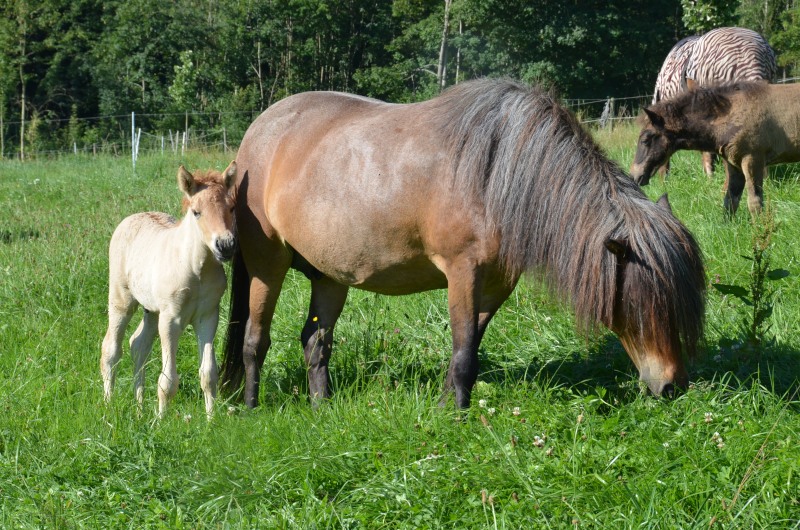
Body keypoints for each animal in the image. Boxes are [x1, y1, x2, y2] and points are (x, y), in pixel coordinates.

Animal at [101, 162, 237, 418]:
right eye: (196, 212)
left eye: (232, 208)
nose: (225, 245)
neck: (195, 267)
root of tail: (134, 216)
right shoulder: (171, 318)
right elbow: (168, 379)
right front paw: (161, 420)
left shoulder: (208, 317)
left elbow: (208, 374)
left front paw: (211, 419)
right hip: (122, 300)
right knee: (111, 350)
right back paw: (109, 404)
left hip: (151, 310)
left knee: (138, 344)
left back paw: (140, 408)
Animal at [220, 79, 706, 409]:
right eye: (645, 303)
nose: (672, 386)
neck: (498, 175)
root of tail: (256, 134)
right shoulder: (462, 272)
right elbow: (463, 349)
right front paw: (457, 415)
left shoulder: (496, 285)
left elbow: (468, 349)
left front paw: (444, 403)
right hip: (267, 266)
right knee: (254, 339)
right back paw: (251, 407)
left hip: (330, 275)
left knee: (315, 341)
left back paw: (322, 404)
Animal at [630, 80, 800, 218]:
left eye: (645, 140)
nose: (634, 176)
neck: (728, 118)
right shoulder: (734, 163)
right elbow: (730, 201)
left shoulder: (753, 158)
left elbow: (754, 202)